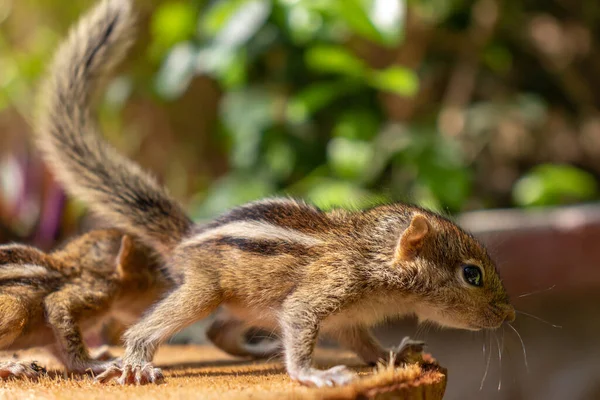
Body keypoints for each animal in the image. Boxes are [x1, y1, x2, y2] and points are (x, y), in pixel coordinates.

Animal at [32, 0, 516, 388]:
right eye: (471, 274)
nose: (509, 315)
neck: (370, 255)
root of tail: (189, 236)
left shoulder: (350, 320)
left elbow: (363, 344)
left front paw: (391, 356)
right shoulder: (323, 293)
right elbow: (300, 325)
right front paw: (313, 374)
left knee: (218, 332)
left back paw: (259, 350)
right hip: (205, 290)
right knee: (150, 329)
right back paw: (137, 362)